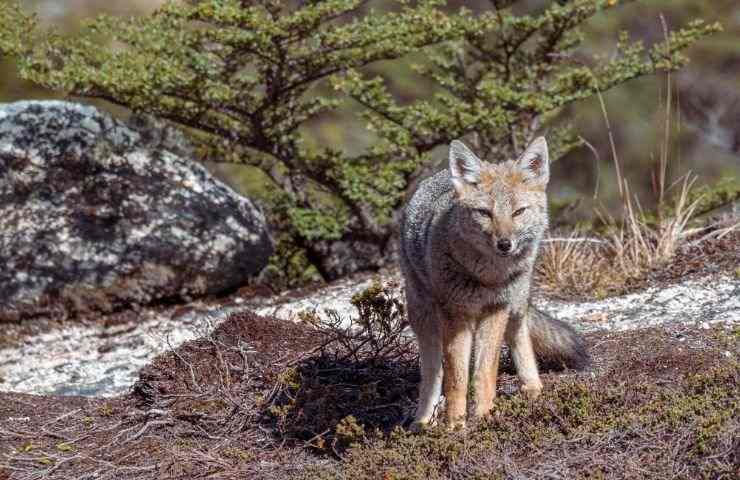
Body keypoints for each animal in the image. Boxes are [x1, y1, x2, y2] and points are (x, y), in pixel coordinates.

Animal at [398, 137, 588, 430]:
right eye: (485, 213)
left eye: (518, 212)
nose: (505, 244)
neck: (487, 277)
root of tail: (436, 177)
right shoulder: (456, 315)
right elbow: (456, 377)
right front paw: (455, 425)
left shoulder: (497, 308)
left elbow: (485, 371)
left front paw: (485, 416)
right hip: (424, 316)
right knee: (432, 371)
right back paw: (423, 420)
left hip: (517, 303)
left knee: (520, 334)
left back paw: (533, 388)